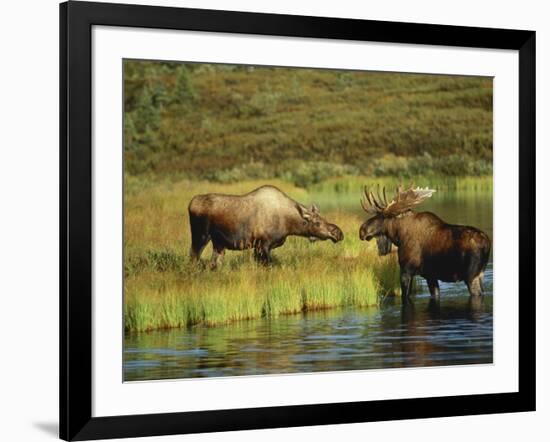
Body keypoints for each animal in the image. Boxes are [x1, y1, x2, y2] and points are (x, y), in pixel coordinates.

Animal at [190, 185, 344, 268]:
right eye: (317, 223)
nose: (338, 233)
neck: (288, 224)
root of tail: (190, 204)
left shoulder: (259, 247)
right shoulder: (263, 245)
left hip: (219, 244)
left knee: (212, 264)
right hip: (201, 237)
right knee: (193, 258)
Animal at [360, 185, 494, 298]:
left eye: (381, 216)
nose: (362, 230)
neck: (398, 237)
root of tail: (487, 244)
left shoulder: (406, 271)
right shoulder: (430, 276)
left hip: (471, 276)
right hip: (480, 273)